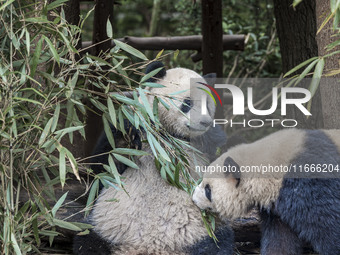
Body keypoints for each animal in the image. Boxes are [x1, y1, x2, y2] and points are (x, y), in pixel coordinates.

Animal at [73, 62, 235, 255]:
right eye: (187, 103)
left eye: (208, 105)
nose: (205, 122)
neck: (168, 135)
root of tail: (149, 247)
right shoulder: (132, 123)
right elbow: (104, 166)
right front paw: (128, 139)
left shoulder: (204, 147)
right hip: (104, 229)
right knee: (86, 242)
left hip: (202, 233)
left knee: (218, 245)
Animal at [193, 129, 340, 255]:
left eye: (208, 189)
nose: (193, 198)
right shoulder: (276, 209)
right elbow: (280, 239)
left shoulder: (309, 180)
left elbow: (329, 224)